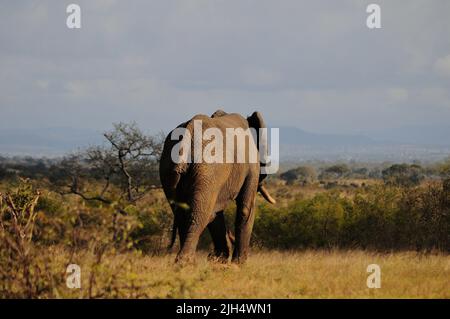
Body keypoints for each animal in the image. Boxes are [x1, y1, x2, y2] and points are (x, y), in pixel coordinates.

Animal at [160, 110, 276, 264]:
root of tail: (189, 131)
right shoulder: (251, 167)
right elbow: (245, 209)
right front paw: (237, 264)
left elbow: (217, 213)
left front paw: (219, 260)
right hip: (208, 168)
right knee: (200, 213)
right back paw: (185, 263)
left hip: (168, 168)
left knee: (184, 214)